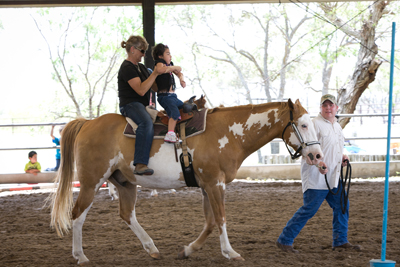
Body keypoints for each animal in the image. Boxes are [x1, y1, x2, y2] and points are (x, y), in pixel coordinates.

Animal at [50, 99, 324, 264]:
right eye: (303, 124)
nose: (317, 155)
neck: (228, 132)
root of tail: (87, 123)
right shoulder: (215, 184)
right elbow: (221, 218)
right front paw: (230, 252)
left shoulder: (207, 187)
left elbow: (211, 222)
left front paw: (188, 250)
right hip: (91, 182)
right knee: (77, 214)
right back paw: (80, 255)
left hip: (125, 183)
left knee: (127, 214)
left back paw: (151, 248)